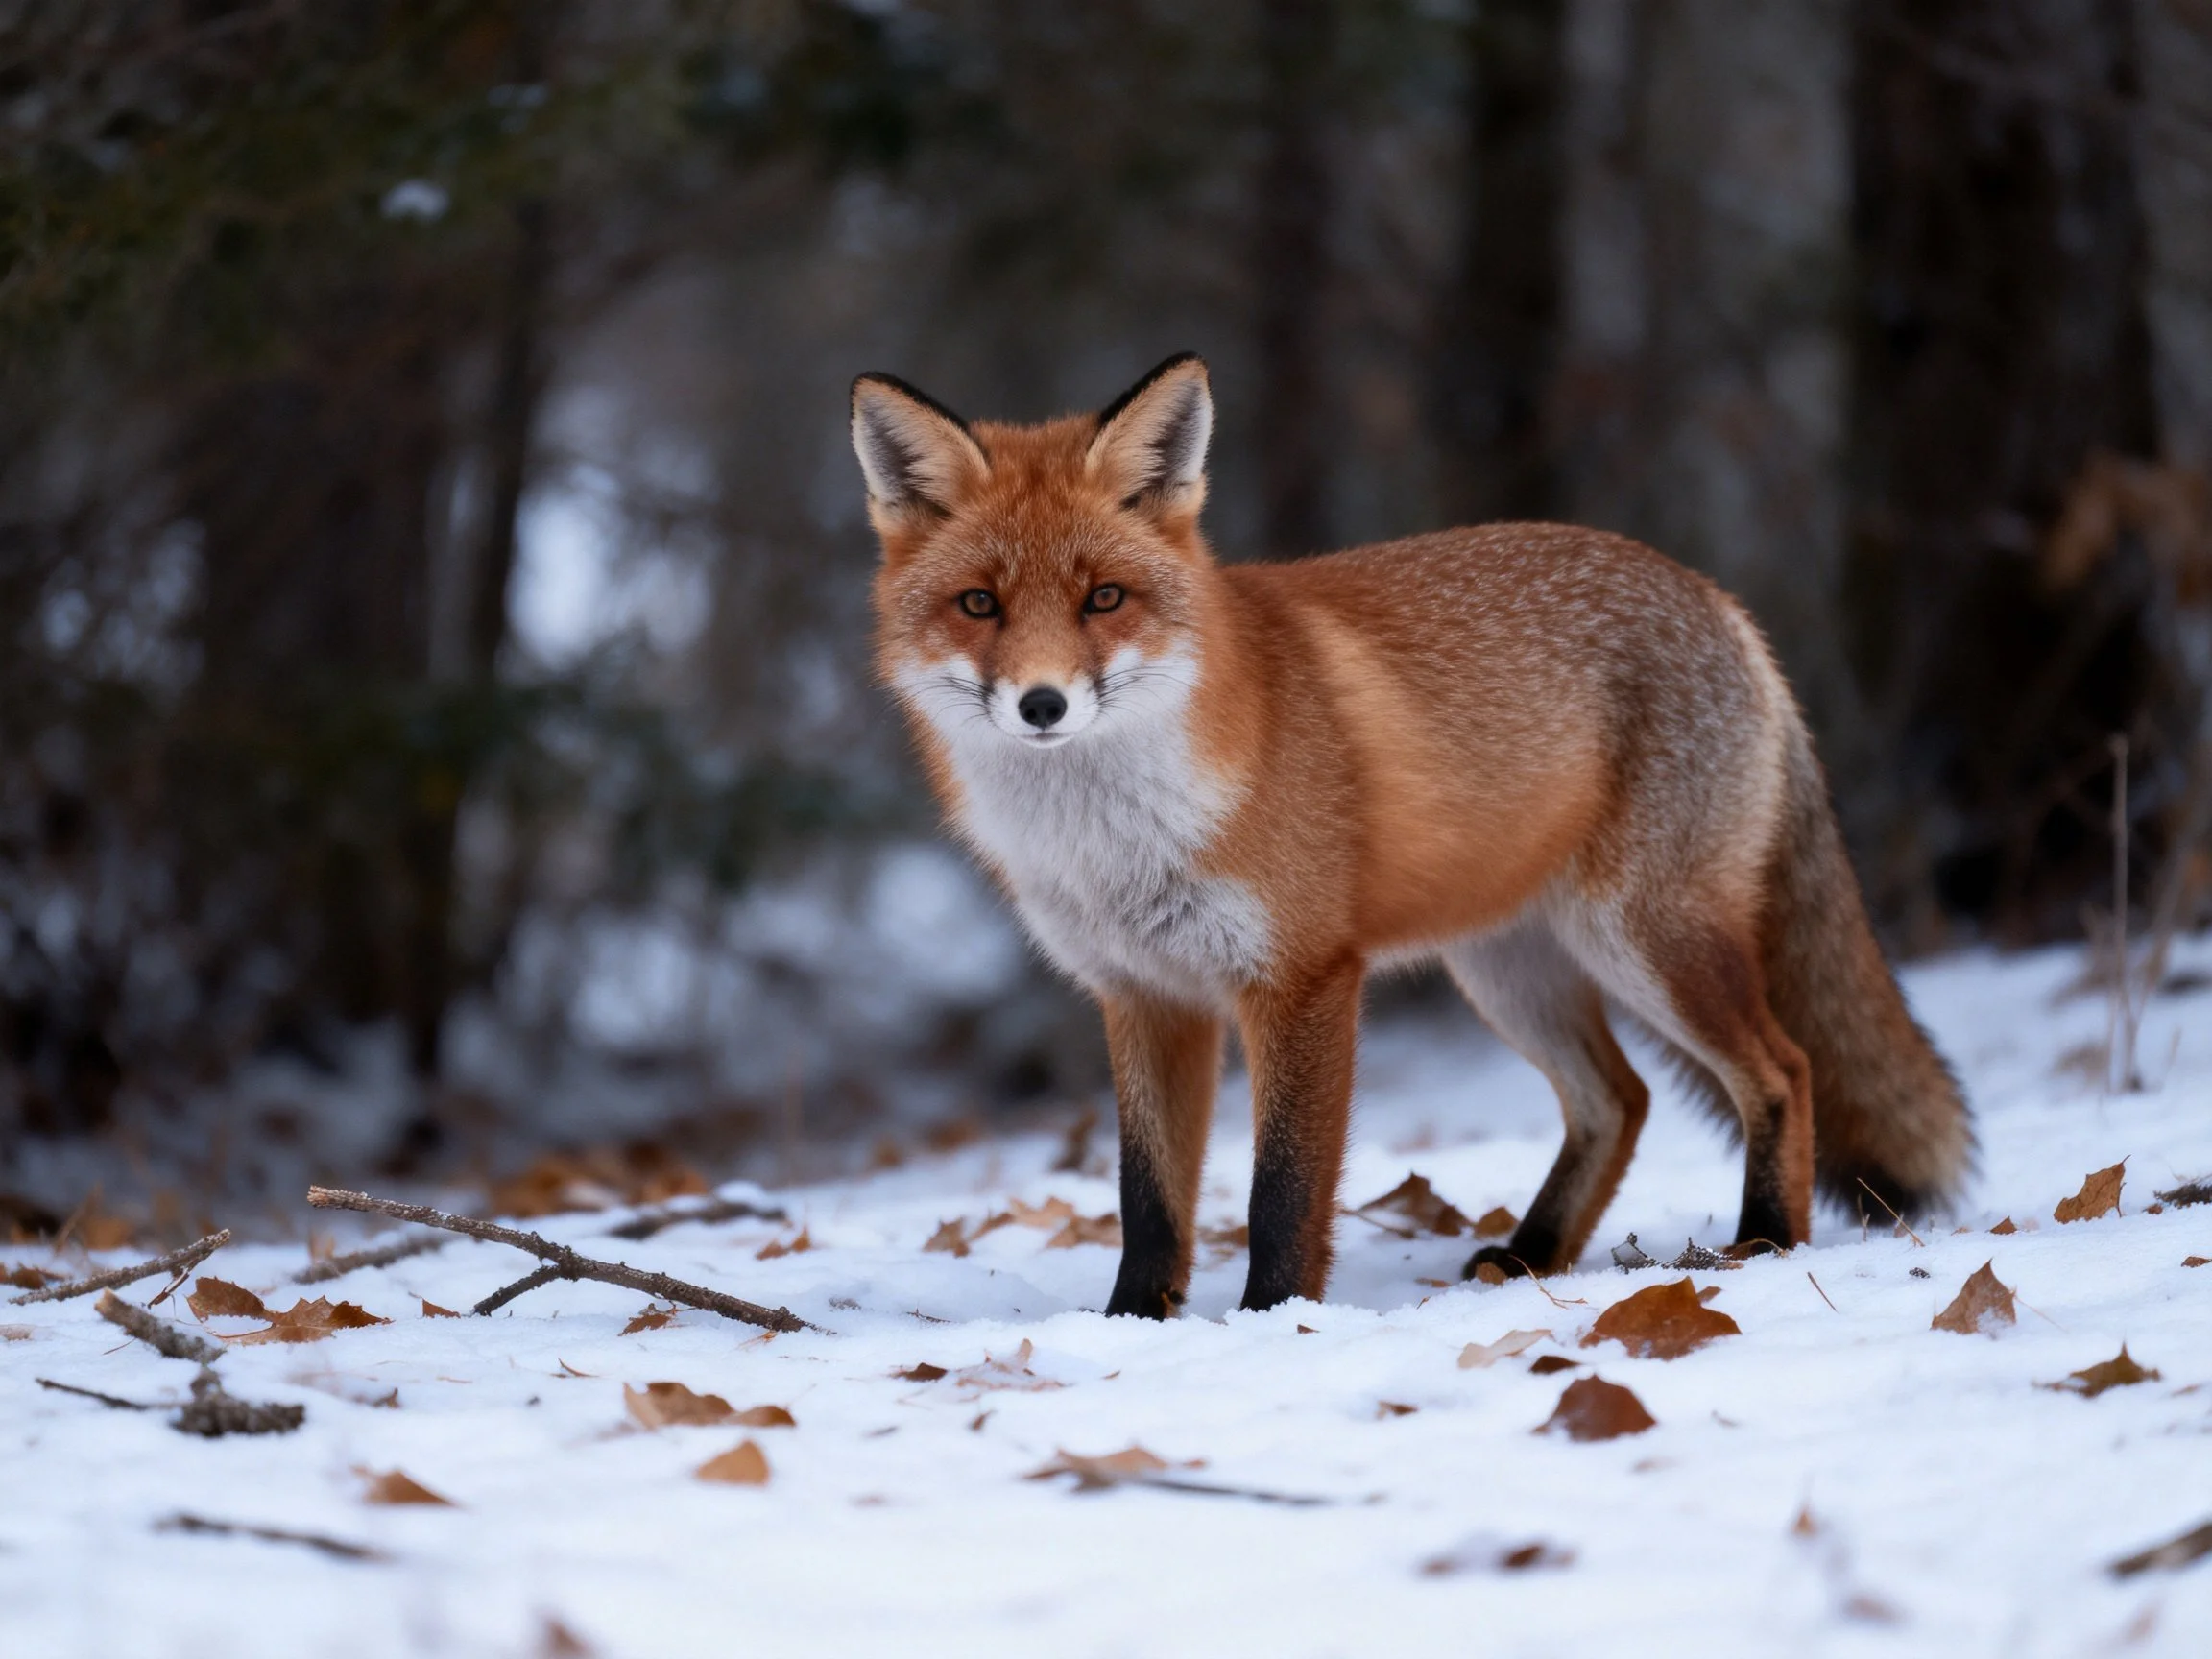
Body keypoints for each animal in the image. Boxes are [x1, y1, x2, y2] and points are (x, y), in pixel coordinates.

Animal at [849, 351, 1972, 1317]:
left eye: (1105, 599)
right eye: (979, 604)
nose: (1041, 705)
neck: (1111, 840)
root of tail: (1719, 601)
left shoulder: (1303, 978)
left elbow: (1282, 1191)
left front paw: (1273, 1318)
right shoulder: (1144, 996)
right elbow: (1149, 1200)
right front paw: (1132, 1325)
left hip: (1648, 941)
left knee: (1782, 1070)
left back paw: (1765, 1243)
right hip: (1508, 969)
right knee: (1620, 1100)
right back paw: (1532, 1253)